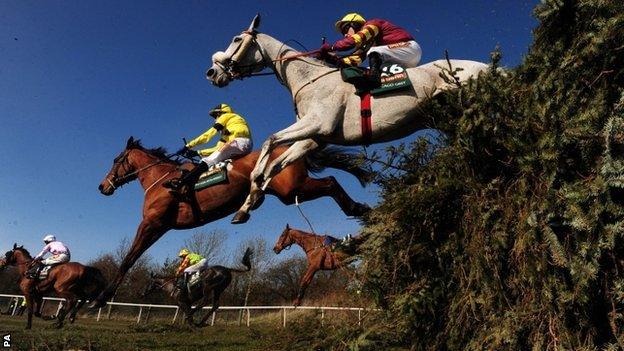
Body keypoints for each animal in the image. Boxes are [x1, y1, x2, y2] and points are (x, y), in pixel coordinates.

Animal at [90, 138, 368, 308]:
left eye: (116, 160)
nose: (102, 186)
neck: (161, 180)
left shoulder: (152, 223)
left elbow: (129, 259)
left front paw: (101, 298)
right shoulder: (160, 227)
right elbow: (133, 257)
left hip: (291, 190)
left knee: (331, 182)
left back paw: (359, 209)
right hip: (290, 191)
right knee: (331, 182)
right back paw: (360, 210)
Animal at [207, 14, 490, 223]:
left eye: (236, 39)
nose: (212, 73)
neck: (308, 78)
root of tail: (487, 66)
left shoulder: (317, 123)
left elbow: (270, 139)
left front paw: (255, 186)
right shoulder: (314, 138)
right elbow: (275, 164)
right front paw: (248, 202)